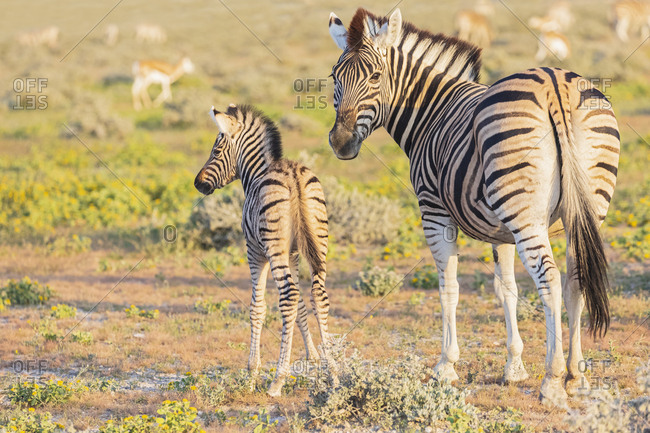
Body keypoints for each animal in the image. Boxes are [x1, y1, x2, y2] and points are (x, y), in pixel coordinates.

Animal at [194, 104, 331, 397]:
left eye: (216, 151)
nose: (198, 184)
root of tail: (293, 175)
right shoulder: (293, 253)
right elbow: (302, 307)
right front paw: (315, 361)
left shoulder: (254, 250)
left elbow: (257, 307)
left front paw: (252, 372)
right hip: (318, 243)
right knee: (317, 295)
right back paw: (335, 371)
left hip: (273, 248)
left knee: (288, 296)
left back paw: (277, 380)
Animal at [327, 8, 619, 406]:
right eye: (334, 77)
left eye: (375, 77)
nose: (340, 143)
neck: (431, 112)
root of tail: (554, 83)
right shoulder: (501, 230)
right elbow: (506, 289)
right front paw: (514, 367)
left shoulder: (434, 212)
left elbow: (448, 287)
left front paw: (445, 366)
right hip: (585, 211)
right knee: (577, 279)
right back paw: (576, 375)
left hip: (525, 215)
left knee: (550, 279)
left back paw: (552, 380)